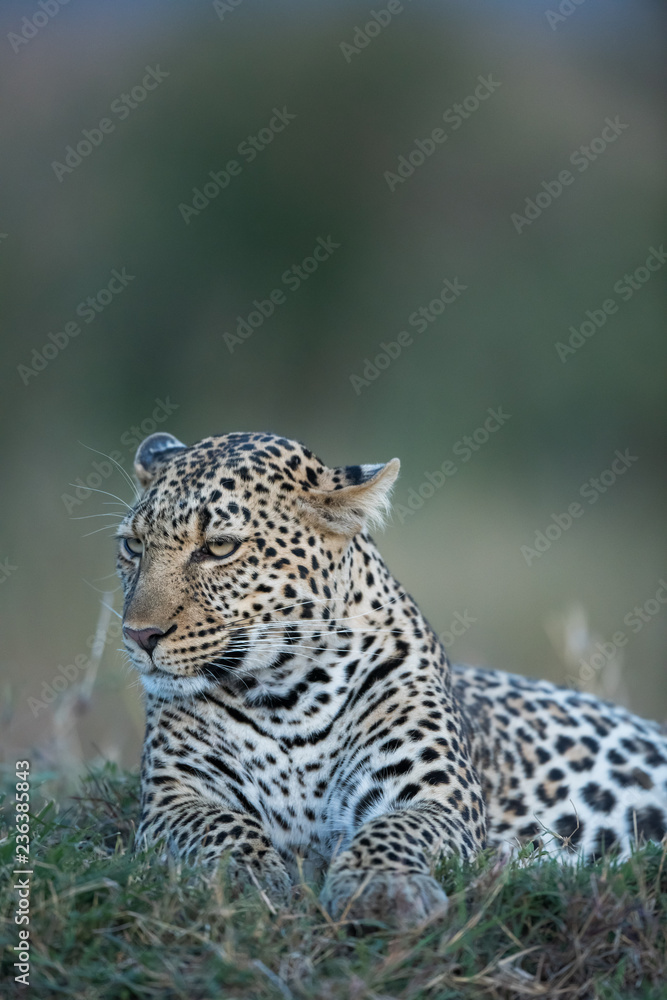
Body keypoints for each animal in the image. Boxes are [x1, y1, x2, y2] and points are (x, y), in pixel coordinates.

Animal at [116, 429, 667, 928]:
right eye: (132, 546)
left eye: (219, 548)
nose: (140, 635)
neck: (285, 697)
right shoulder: (174, 797)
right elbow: (218, 828)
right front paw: (242, 881)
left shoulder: (437, 794)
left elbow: (396, 830)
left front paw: (382, 889)